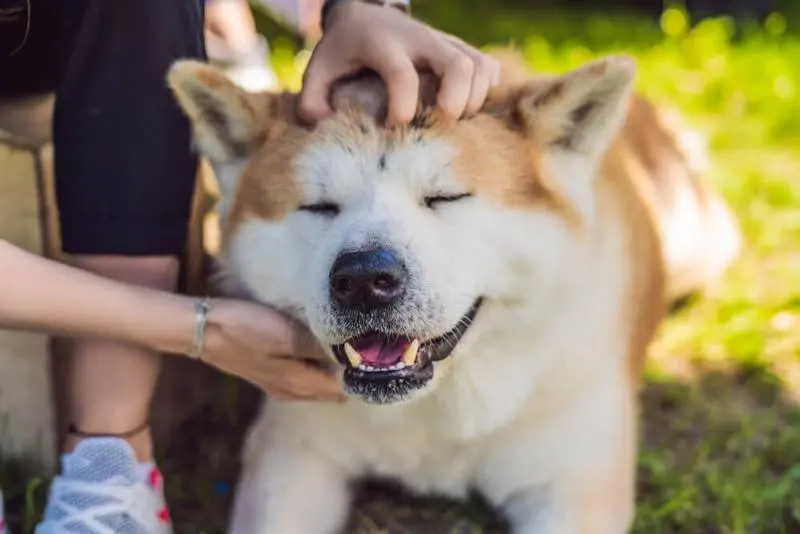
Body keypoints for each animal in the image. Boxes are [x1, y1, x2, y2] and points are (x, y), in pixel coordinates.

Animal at [170, 51, 744, 534]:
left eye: (445, 197)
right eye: (320, 206)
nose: (364, 279)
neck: (437, 402)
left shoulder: (573, 484)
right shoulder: (293, 455)